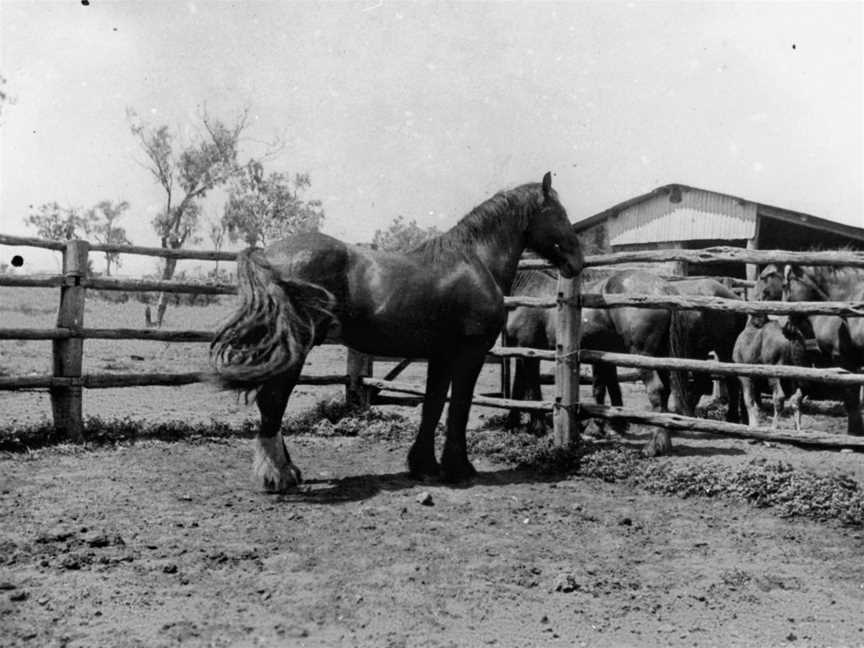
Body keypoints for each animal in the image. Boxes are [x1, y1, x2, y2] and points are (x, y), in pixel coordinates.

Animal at [212, 172, 584, 492]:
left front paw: (424, 466)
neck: (475, 261)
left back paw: (288, 471)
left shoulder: (441, 355)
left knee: (273, 403)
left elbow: (433, 405)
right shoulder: (470, 353)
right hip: (298, 348)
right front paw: (459, 468)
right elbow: (459, 406)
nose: (578, 261)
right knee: (273, 400)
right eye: (558, 213)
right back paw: (277, 476)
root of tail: (267, 254)